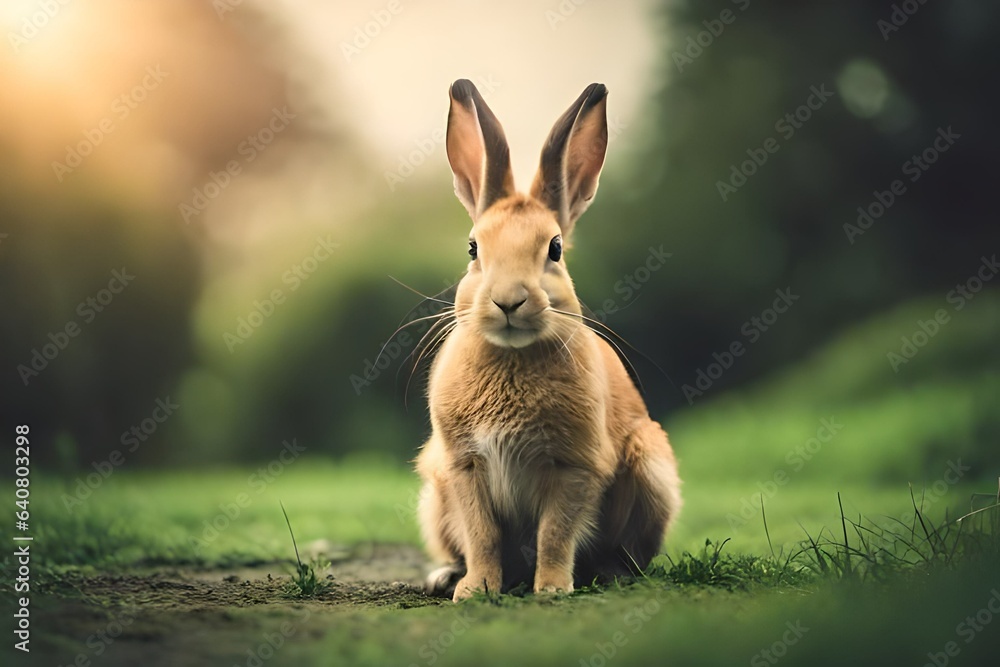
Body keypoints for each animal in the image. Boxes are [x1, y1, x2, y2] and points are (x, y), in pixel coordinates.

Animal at [414, 81, 680, 604]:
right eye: (473, 249)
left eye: (554, 249)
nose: (508, 301)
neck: (512, 357)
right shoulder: (463, 468)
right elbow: (482, 535)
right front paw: (475, 590)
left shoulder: (574, 467)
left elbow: (555, 533)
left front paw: (553, 590)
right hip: (434, 497)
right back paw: (446, 577)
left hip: (651, 468)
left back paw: (610, 574)